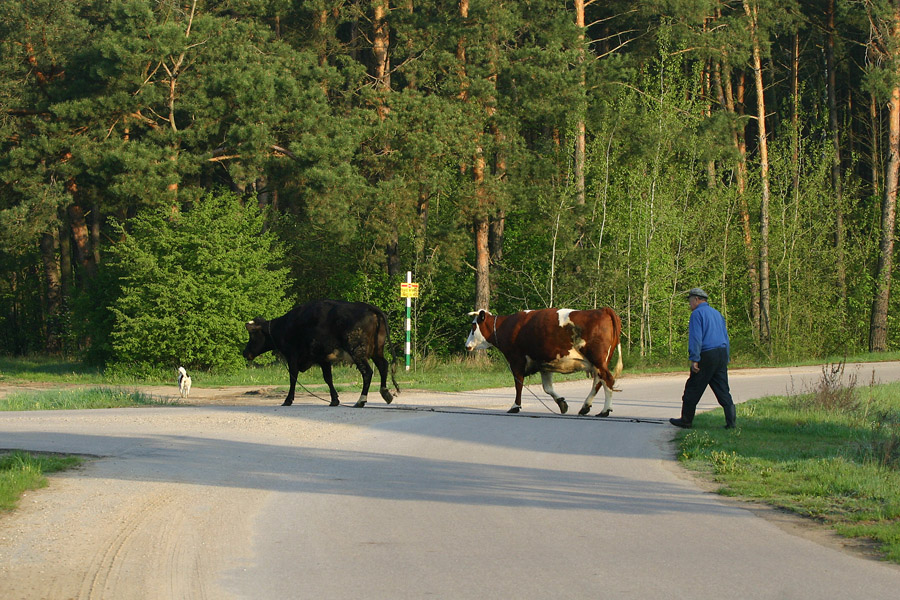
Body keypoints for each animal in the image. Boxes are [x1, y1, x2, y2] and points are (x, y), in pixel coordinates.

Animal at [246, 300, 400, 408]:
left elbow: (293, 378)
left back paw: (361, 400)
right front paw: (334, 400)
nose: (244, 352)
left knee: (367, 372)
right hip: (376, 350)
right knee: (383, 366)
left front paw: (288, 400)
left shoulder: (293, 357)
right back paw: (385, 393)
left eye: (252, 334)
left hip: (357, 351)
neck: (285, 326)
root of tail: (367, 307)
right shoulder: (323, 358)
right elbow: (328, 378)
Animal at [468, 308, 624, 414]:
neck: (506, 326)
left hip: (597, 359)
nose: (466, 344)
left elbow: (518, 385)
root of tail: (603, 310)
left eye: (473, 326)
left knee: (607, 380)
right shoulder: (544, 363)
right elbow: (548, 388)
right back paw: (585, 407)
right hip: (599, 362)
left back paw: (604, 411)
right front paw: (561, 403)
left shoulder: (516, 360)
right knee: (599, 381)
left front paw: (515, 406)